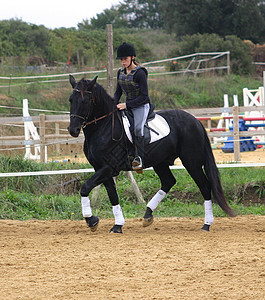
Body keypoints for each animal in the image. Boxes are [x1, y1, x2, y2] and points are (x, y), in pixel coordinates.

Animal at [68, 75, 235, 234]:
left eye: (85, 101)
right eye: (70, 100)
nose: (72, 130)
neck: (105, 126)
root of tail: (195, 121)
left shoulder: (108, 168)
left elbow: (85, 187)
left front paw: (91, 221)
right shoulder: (102, 169)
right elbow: (112, 195)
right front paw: (117, 225)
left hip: (191, 162)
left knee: (205, 186)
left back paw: (206, 224)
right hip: (160, 162)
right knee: (168, 181)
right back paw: (147, 215)